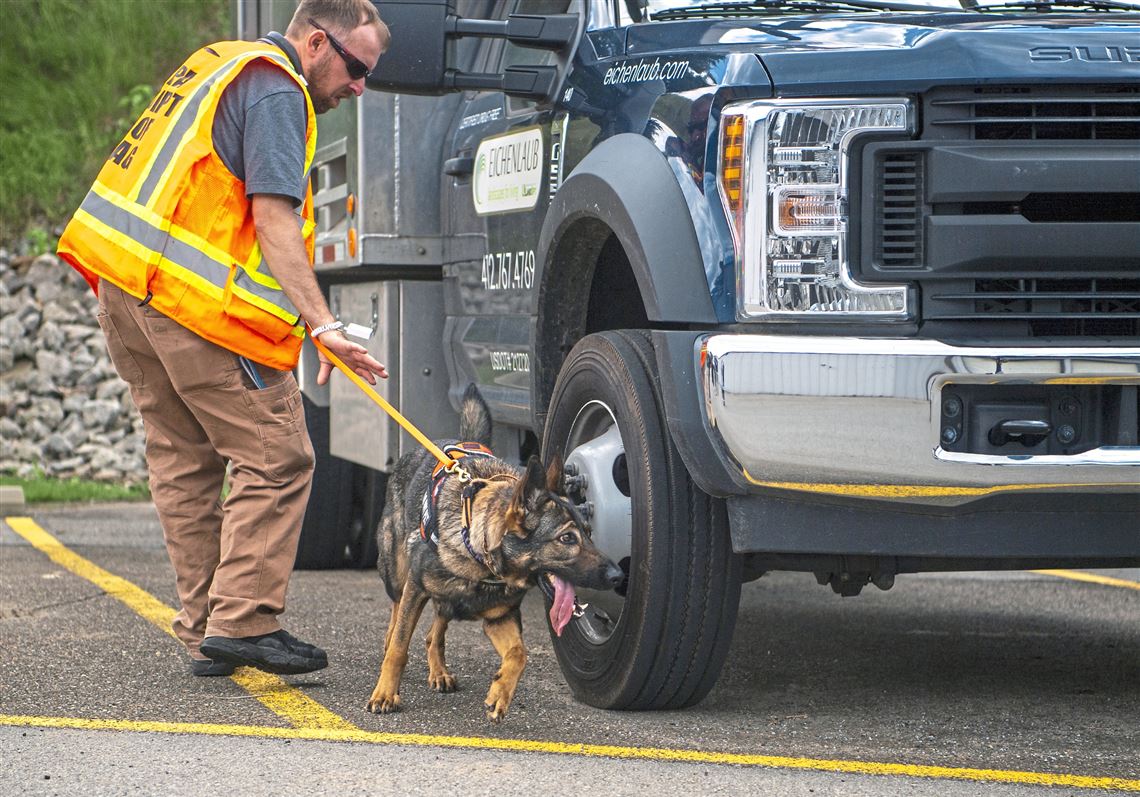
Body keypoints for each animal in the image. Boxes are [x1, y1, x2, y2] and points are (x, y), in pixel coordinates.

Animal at [369, 387, 624, 725]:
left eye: (588, 531)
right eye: (567, 538)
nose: (618, 576)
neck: (482, 561)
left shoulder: (500, 617)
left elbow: (519, 654)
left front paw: (500, 693)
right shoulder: (417, 588)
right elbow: (399, 647)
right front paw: (385, 693)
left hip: (444, 600)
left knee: (435, 631)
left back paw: (439, 671)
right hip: (398, 577)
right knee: (397, 621)